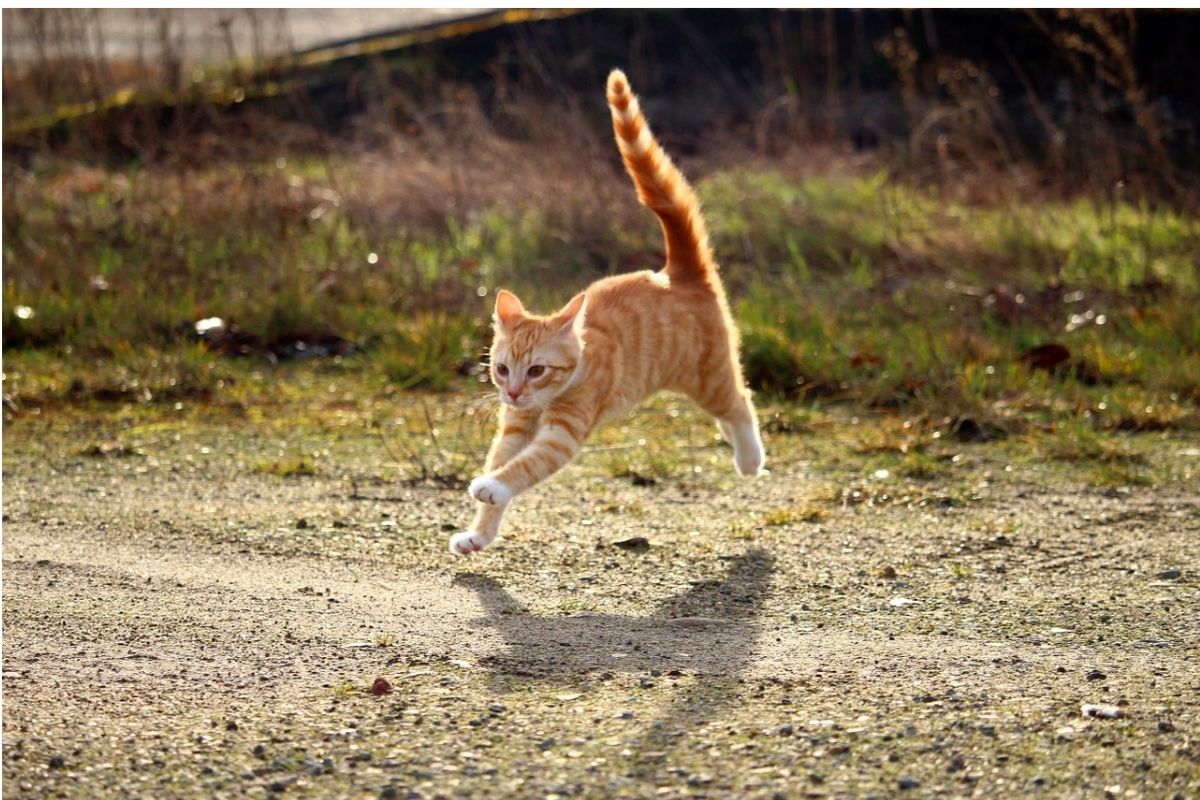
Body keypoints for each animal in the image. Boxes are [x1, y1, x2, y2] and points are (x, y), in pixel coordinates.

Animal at [446, 68, 763, 554]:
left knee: (741, 403)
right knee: (729, 412)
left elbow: (521, 469)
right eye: (501, 369)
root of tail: (678, 272)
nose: (513, 392)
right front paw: (479, 532)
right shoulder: (514, 429)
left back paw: (750, 458)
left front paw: (492, 487)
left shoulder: (561, 433)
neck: (544, 399)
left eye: (536, 370)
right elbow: (502, 464)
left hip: (707, 375)